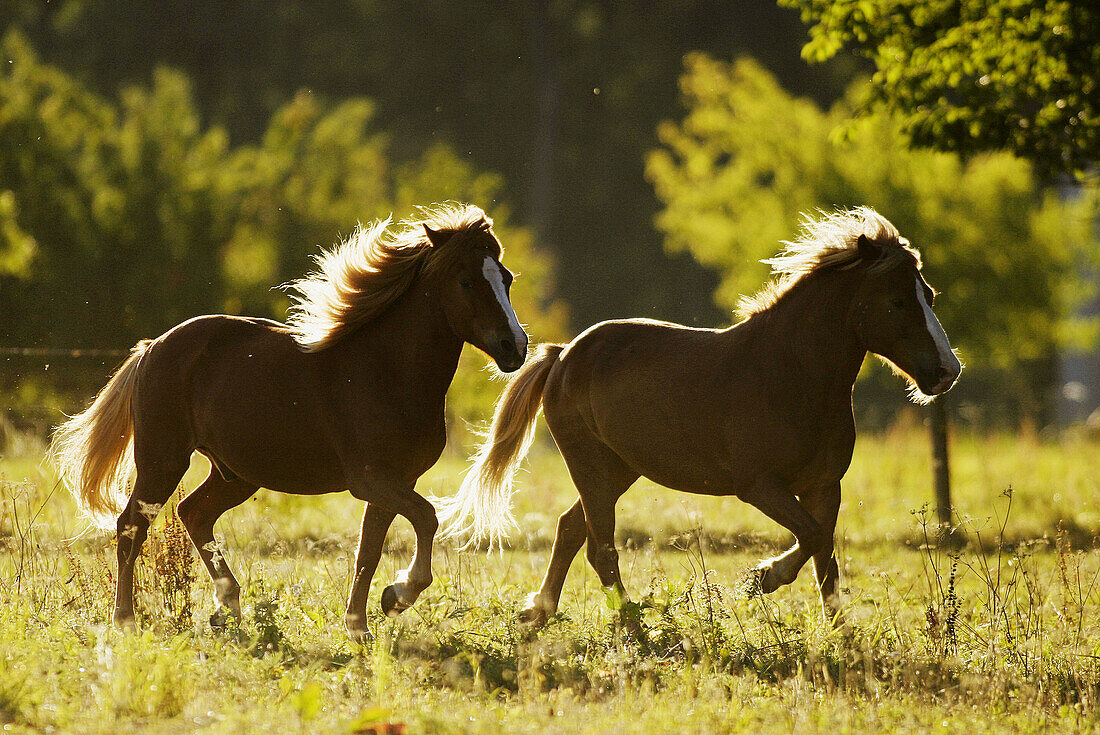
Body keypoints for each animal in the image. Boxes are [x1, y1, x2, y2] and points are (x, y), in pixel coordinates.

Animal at [52, 202, 528, 638]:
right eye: (467, 281)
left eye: (505, 278)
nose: (515, 347)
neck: (388, 371)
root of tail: (152, 347)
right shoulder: (371, 478)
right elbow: (426, 520)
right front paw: (397, 596)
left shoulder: (396, 481)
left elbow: (370, 549)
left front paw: (361, 625)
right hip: (163, 460)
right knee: (131, 526)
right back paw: (126, 621)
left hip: (236, 474)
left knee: (193, 513)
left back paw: (228, 607)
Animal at [442, 207, 959, 624]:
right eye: (897, 300)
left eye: (929, 295)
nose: (946, 371)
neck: (792, 374)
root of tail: (564, 354)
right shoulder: (759, 485)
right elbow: (812, 539)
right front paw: (763, 578)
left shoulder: (824, 485)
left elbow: (824, 552)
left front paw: (839, 632)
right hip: (591, 464)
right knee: (599, 546)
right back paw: (631, 622)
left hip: (617, 468)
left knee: (572, 529)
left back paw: (540, 611)